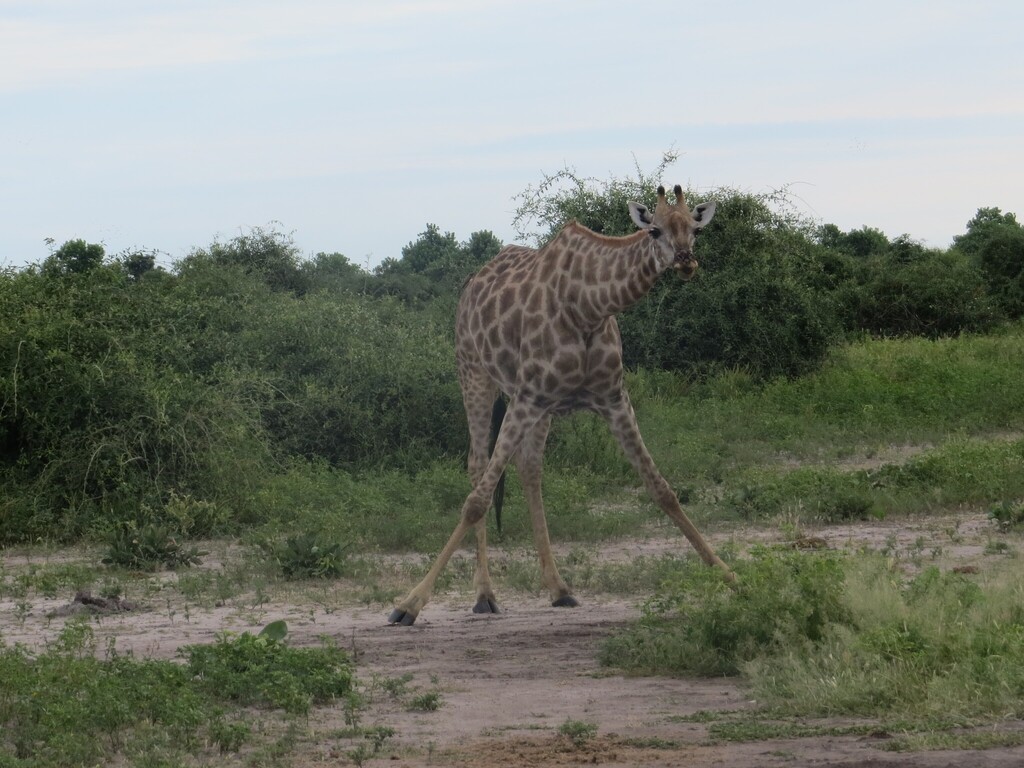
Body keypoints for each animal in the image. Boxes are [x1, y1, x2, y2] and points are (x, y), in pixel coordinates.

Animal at [388, 184, 734, 626]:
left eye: (695, 229)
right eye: (654, 230)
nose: (686, 261)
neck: (588, 308)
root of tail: (469, 283)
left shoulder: (611, 398)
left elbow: (662, 489)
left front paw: (730, 576)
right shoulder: (527, 395)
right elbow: (476, 501)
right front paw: (409, 603)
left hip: (541, 408)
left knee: (529, 468)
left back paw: (558, 588)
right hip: (475, 374)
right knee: (478, 466)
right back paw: (484, 595)